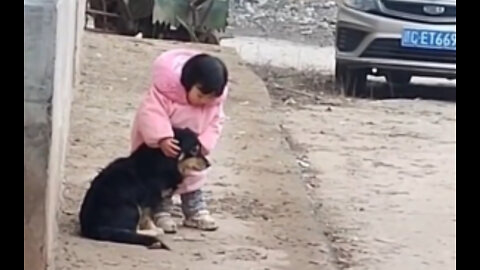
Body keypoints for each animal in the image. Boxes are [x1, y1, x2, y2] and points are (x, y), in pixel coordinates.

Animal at [79, 128, 210, 249]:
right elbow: (147, 217)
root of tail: (92, 227)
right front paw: (154, 228)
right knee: (132, 230)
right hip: (132, 208)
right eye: (194, 149)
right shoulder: (149, 199)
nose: (209, 164)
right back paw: (154, 233)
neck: (164, 160)